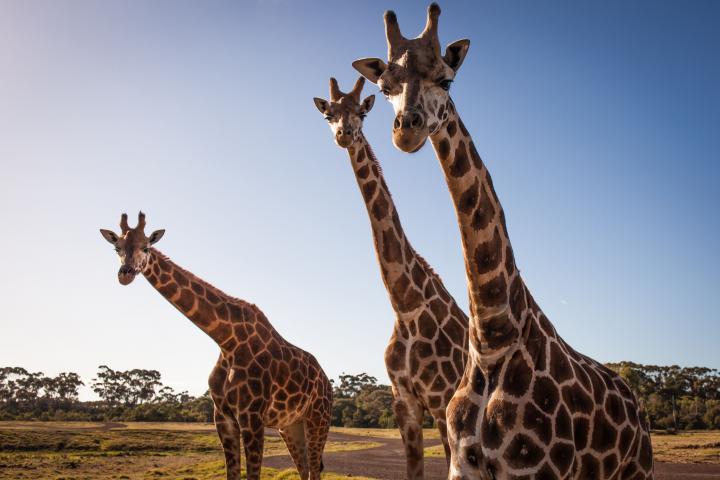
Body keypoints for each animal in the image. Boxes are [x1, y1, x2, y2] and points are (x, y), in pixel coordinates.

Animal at [98, 212, 332, 480]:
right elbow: (232, 473)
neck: (226, 341)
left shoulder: (252, 417)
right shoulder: (222, 416)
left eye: (146, 247)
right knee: (305, 469)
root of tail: (327, 383)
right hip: (291, 425)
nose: (125, 273)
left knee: (314, 468)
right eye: (117, 247)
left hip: (318, 419)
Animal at [312, 77, 470, 478]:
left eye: (362, 112)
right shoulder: (405, 404)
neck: (405, 306)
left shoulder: (443, 400)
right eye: (329, 114)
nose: (345, 134)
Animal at [352, 4, 656, 480]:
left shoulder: (533, 470)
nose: (407, 130)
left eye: (446, 79)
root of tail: (638, 408)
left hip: (638, 470)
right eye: (385, 89)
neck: (492, 339)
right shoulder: (460, 459)